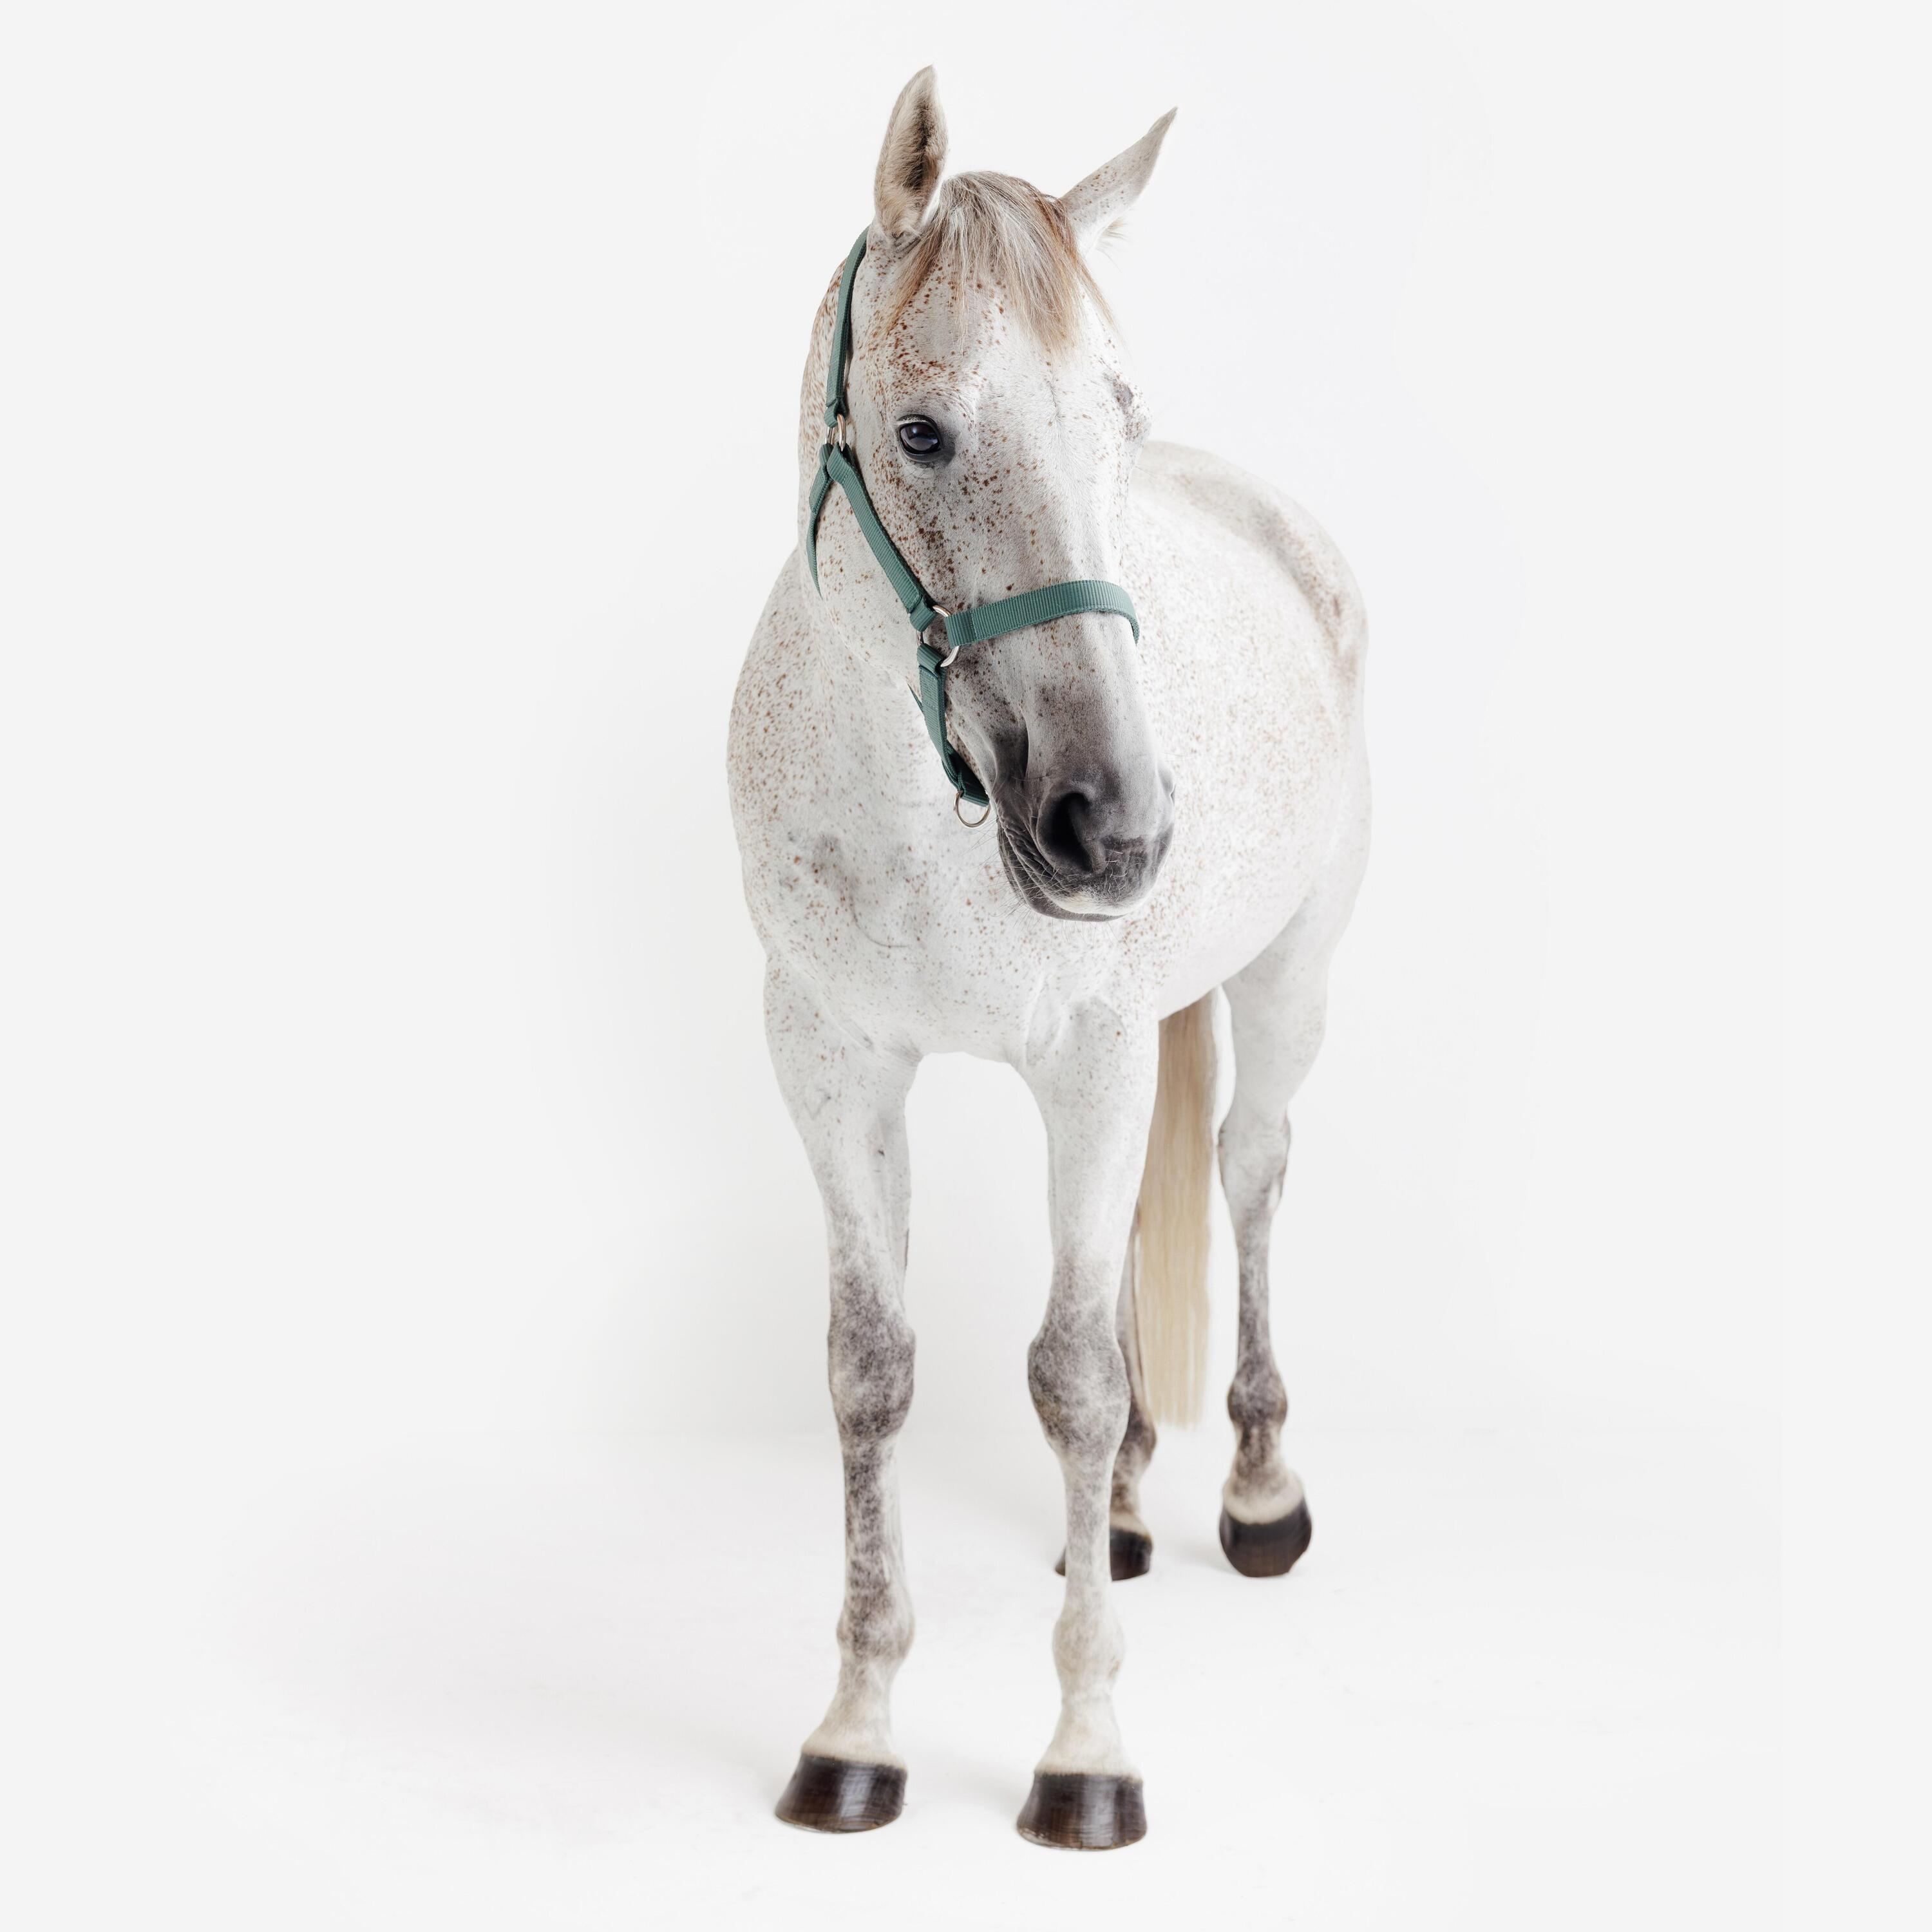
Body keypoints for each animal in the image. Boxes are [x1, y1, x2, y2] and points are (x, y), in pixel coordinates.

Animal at [726, 68, 1370, 1850]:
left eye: (1112, 420)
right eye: (924, 432)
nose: (1115, 826)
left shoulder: (1087, 1060)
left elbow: (1071, 1374)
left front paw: (1085, 1754)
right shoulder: (827, 1060)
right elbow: (871, 1373)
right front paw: (856, 1729)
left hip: (1289, 983)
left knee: (1247, 1177)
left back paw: (1256, 1493)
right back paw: (1137, 1509)